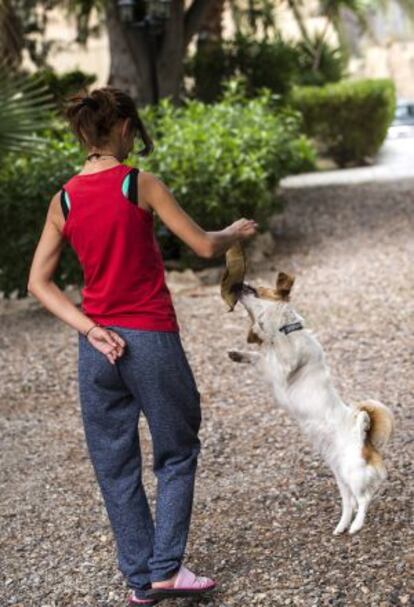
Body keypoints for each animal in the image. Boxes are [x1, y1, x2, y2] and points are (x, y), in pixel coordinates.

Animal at [230, 274, 394, 536]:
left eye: (259, 288)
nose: (240, 283)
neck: (287, 331)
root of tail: (364, 437)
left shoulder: (284, 365)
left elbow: (271, 349)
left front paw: (261, 333)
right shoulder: (271, 366)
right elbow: (259, 356)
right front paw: (239, 353)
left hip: (353, 473)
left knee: (364, 499)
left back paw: (356, 526)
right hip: (342, 476)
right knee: (350, 502)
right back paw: (342, 526)